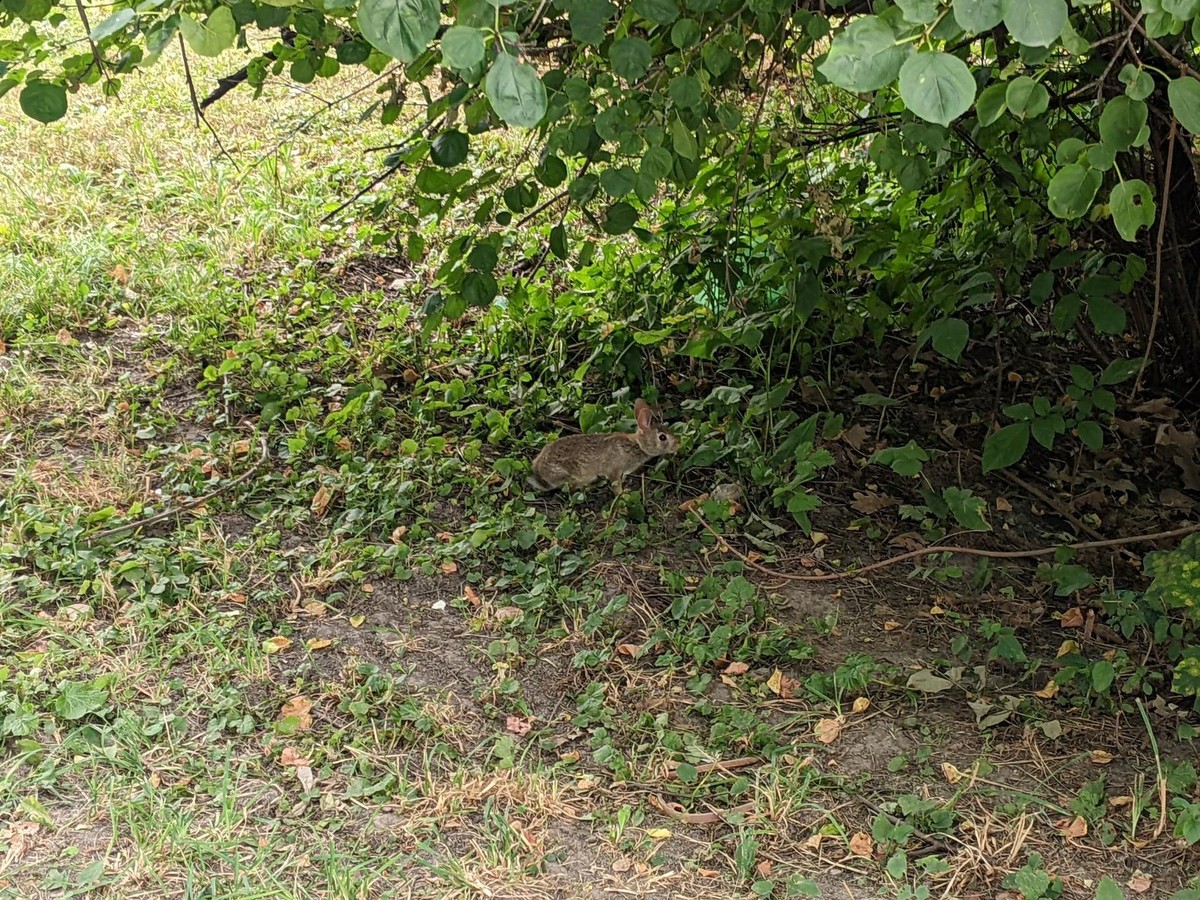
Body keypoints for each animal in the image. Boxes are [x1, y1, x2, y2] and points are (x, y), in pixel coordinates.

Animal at [527, 398, 680, 495]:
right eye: (662, 437)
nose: (678, 444)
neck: (638, 445)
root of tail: (539, 473)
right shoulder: (614, 470)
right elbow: (616, 485)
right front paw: (623, 494)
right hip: (578, 474)